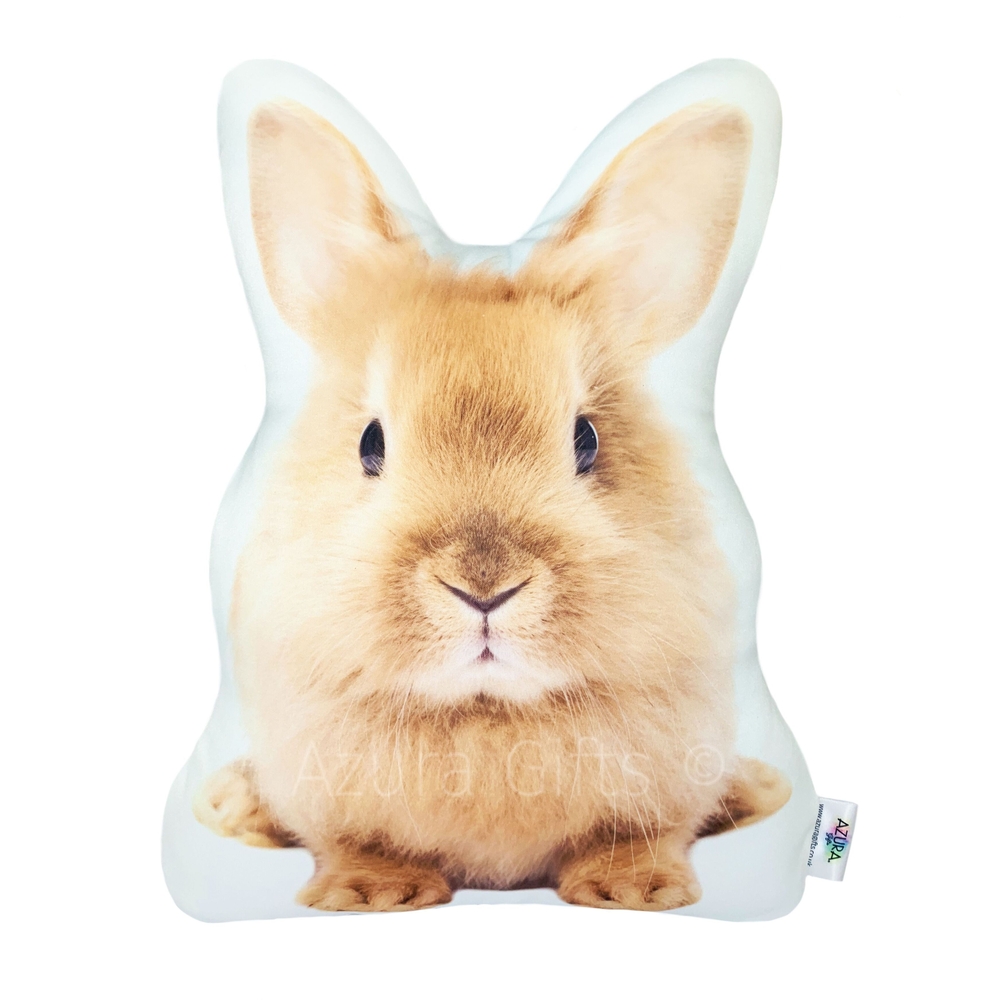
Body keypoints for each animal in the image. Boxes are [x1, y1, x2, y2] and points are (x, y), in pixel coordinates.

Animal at [194, 97, 792, 912]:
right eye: (370, 442)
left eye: (586, 439)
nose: (484, 586)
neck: (487, 715)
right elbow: (354, 840)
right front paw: (372, 895)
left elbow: (640, 834)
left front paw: (635, 893)